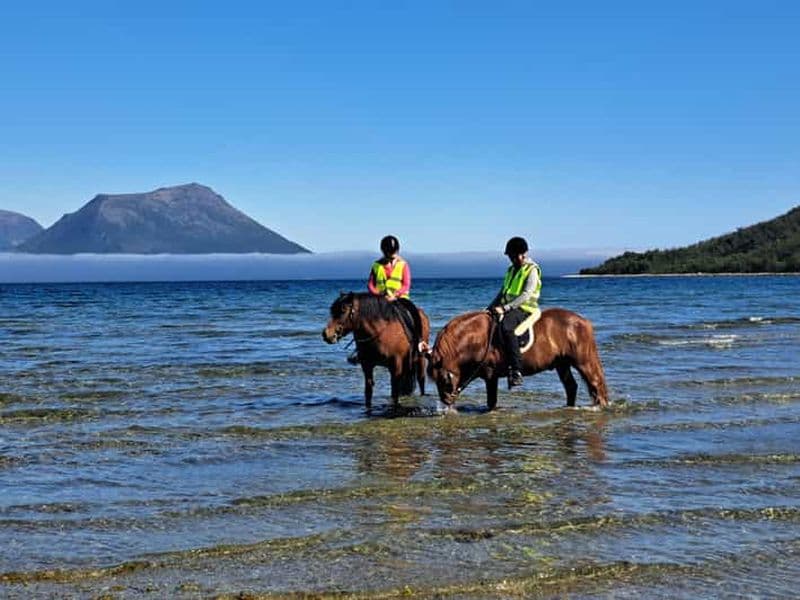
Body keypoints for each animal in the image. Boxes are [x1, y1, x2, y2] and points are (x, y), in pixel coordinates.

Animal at [427, 308, 608, 410]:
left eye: (444, 378)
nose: (446, 402)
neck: (477, 338)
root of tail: (583, 321)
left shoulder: (491, 376)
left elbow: (491, 402)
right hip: (562, 364)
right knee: (571, 386)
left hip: (583, 361)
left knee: (596, 383)